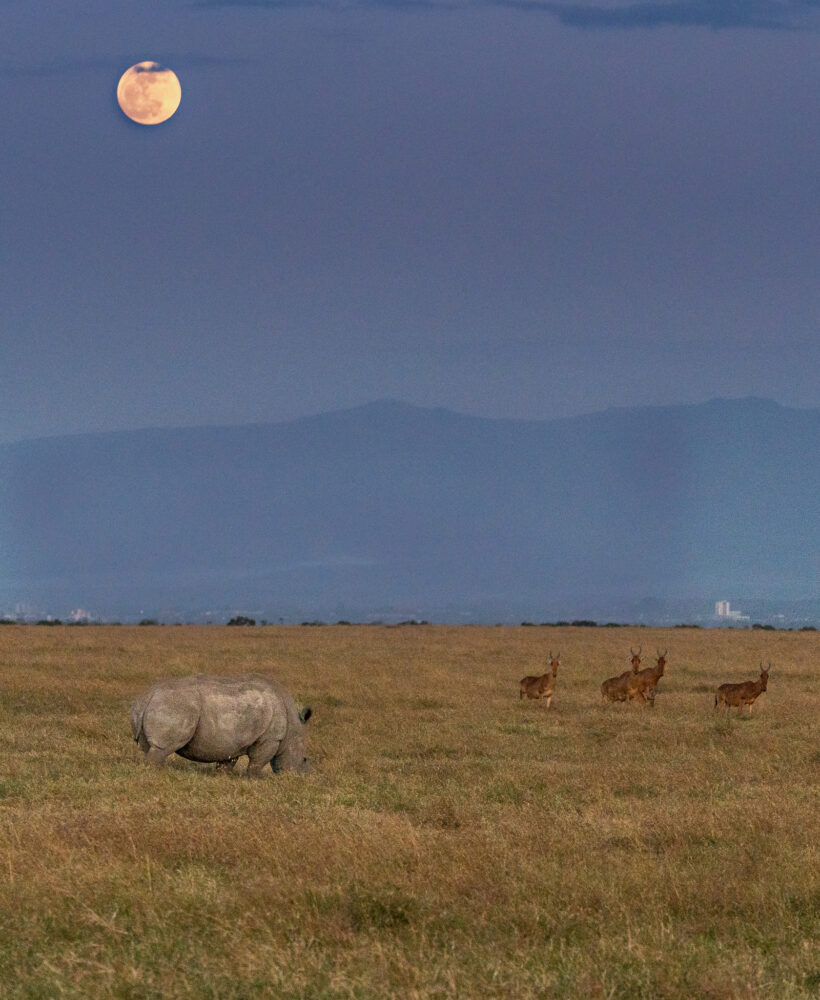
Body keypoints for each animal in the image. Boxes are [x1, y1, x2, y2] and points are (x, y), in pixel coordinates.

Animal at [130, 676, 312, 776]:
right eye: (304, 759)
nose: (300, 777)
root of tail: (147, 697)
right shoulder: (270, 738)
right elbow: (257, 762)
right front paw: (253, 779)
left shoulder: (232, 742)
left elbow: (226, 763)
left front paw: (222, 776)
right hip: (175, 706)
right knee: (162, 749)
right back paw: (158, 773)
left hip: (159, 704)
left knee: (150, 747)